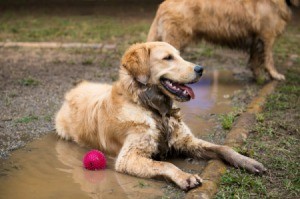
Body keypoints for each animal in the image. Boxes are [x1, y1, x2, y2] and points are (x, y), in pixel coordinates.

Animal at [55, 41, 266, 190]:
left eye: (179, 56)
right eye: (168, 58)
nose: (200, 69)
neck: (154, 110)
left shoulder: (186, 141)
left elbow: (224, 148)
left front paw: (247, 161)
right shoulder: (128, 157)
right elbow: (165, 165)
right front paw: (185, 177)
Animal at [146, 0, 298, 81]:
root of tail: (163, 5)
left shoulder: (256, 38)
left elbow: (255, 60)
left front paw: (258, 78)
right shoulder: (267, 36)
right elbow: (268, 58)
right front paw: (275, 75)